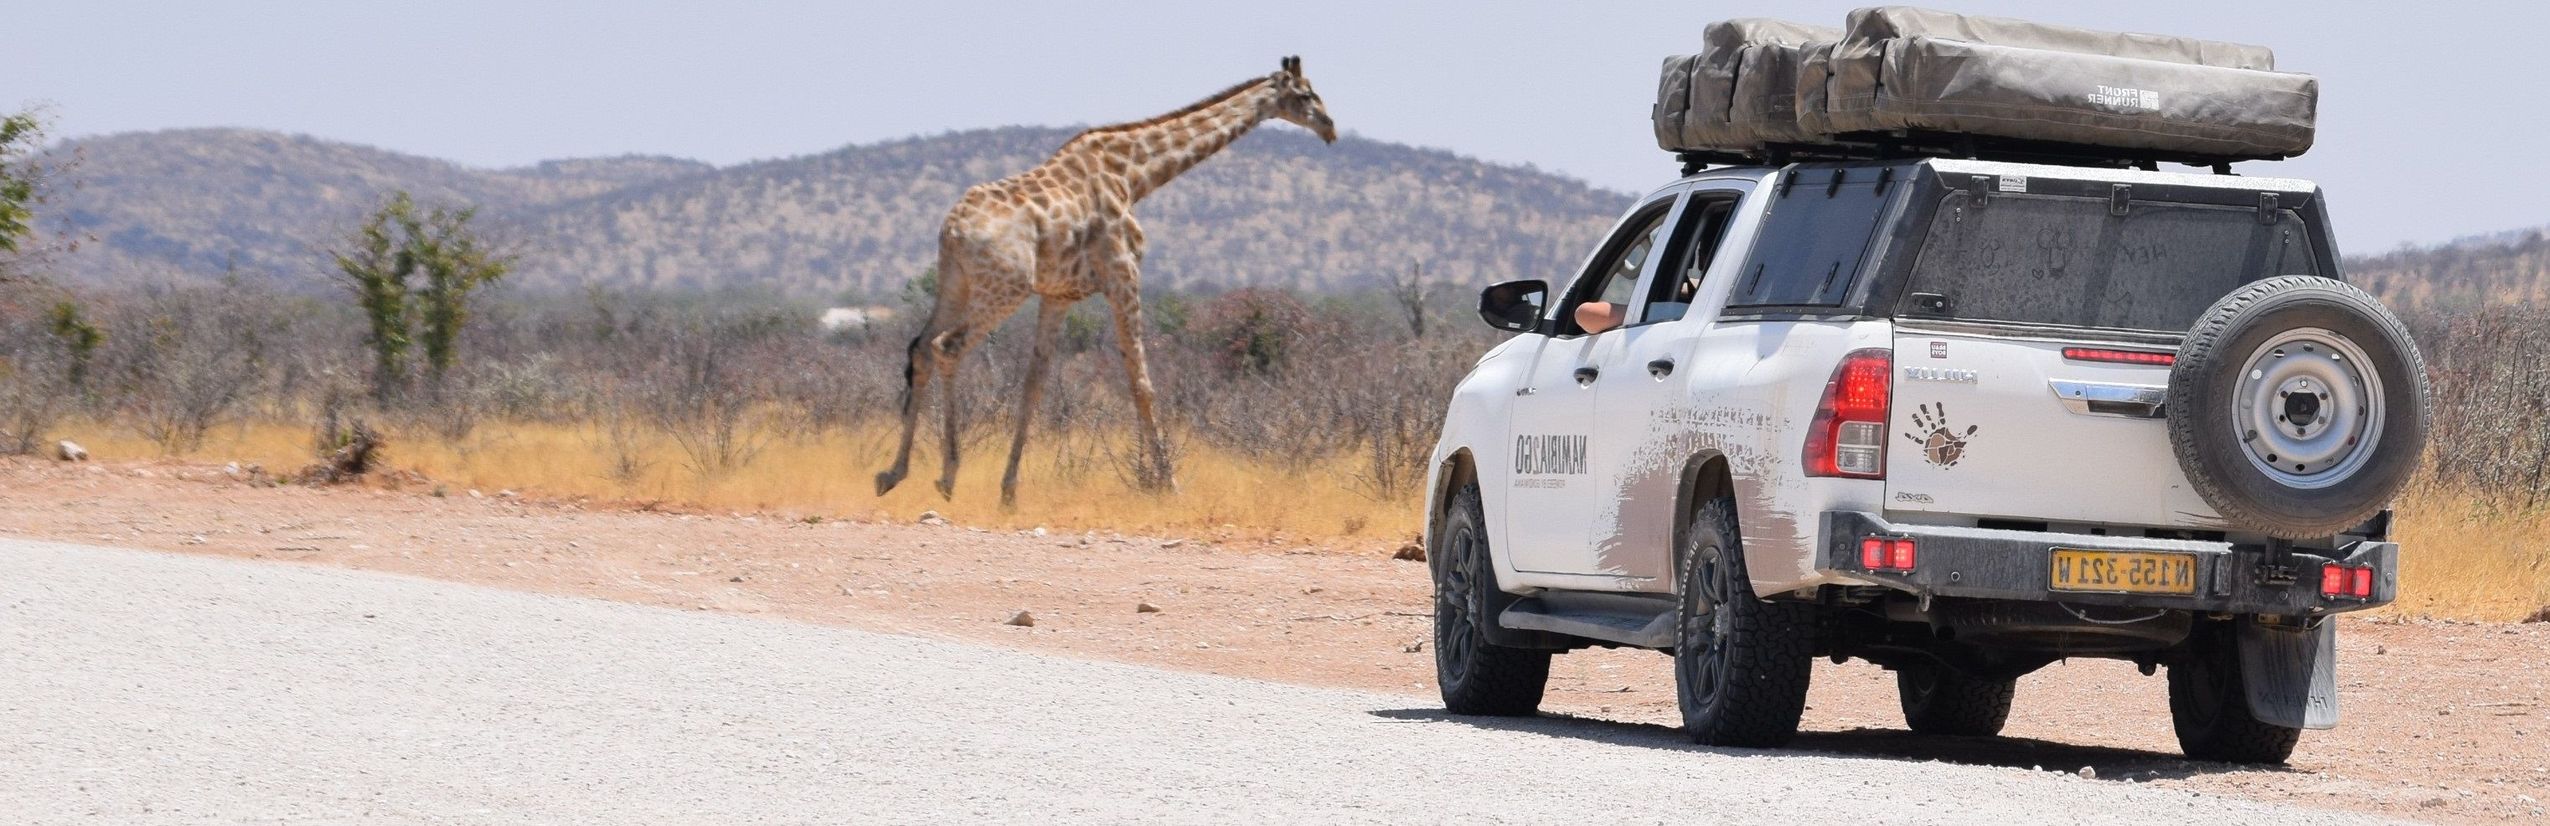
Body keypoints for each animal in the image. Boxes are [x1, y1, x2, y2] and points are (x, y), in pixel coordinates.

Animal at [877, 54, 1336, 507]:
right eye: (1306, 93)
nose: (1330, 128)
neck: (1134, 175)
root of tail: (953, 229)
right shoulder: (1123, 273)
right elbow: (1141, 382)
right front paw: (1168, 484)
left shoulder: (1058, 294)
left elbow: (1034, 383)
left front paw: (1009, 490)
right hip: (1005, 288)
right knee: (947, 346)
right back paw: (947, 474)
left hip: (956, 282)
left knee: (920, 347)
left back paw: (892, 473)